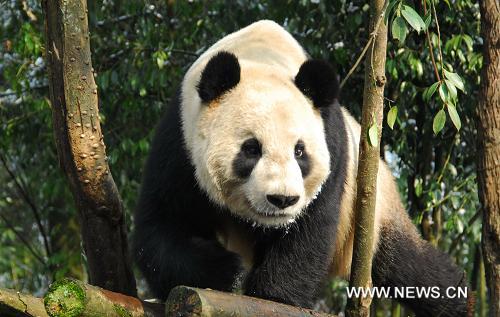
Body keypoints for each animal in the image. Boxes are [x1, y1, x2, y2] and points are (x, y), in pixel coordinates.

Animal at [133, 20, 468, 316]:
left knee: (412, 268)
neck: (258, 58)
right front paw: (229, 271)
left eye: (300, 151)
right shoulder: (179, 144)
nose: (282, 200)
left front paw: (272, 295)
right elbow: (162, 227)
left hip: (374, 213)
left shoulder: (334, 148)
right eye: (251, 149)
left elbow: (309, 232)